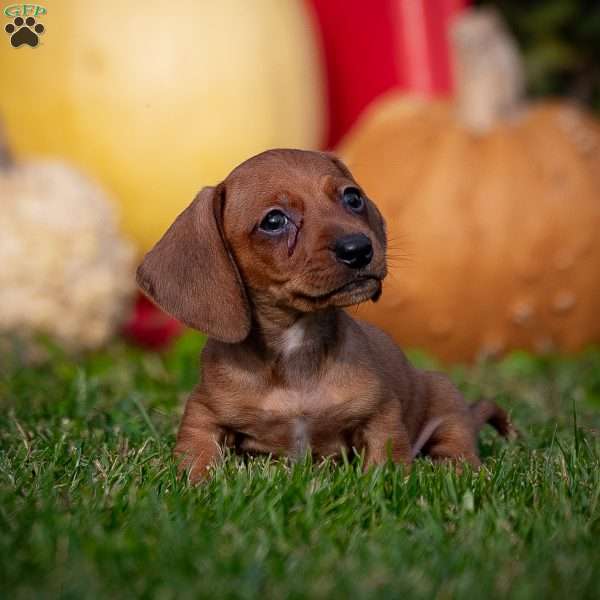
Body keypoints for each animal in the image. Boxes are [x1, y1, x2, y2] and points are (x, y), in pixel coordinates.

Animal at [137, 150, 510, 482]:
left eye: (353, 198)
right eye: (274, 220)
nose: (359, 249)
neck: (296, 348)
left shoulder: (382, 413)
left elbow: (387, 457)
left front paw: (389, 485)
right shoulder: (203, 411)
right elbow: (196, 449)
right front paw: (195, 482)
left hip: (443, 395)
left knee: (457, 442)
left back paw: (459, 470)